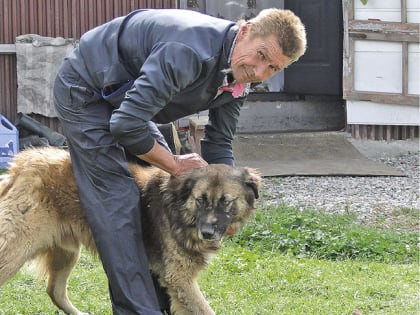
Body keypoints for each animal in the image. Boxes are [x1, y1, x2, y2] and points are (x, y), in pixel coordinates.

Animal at [0, 148, 260, 315]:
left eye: (226, 202)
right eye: (201, 200)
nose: (206, 232)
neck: (181, 209)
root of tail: (24, 162)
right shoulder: (179, 277)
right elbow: (205, 309)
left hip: (66, 252)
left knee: (54, 290)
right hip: (16, 249)